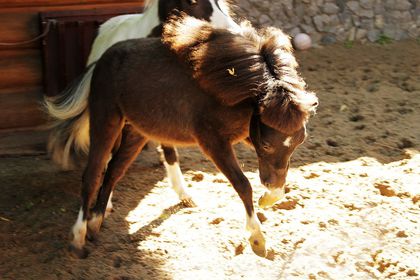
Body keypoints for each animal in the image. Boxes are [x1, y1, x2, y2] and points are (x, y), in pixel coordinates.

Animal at [67, 15, 318, 258]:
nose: (268, 182)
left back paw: (96, 222)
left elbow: (280, 181)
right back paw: (79, 238)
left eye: (298, 143)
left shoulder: (248, 134)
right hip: (106, 120)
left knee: (114, 171)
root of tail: (101, 61)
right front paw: (257, 239)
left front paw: (267, 199)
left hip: (137, 132)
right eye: (266, 145)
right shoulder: (213, 141)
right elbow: (243, 184)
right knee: (93, 174)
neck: (230, 87)